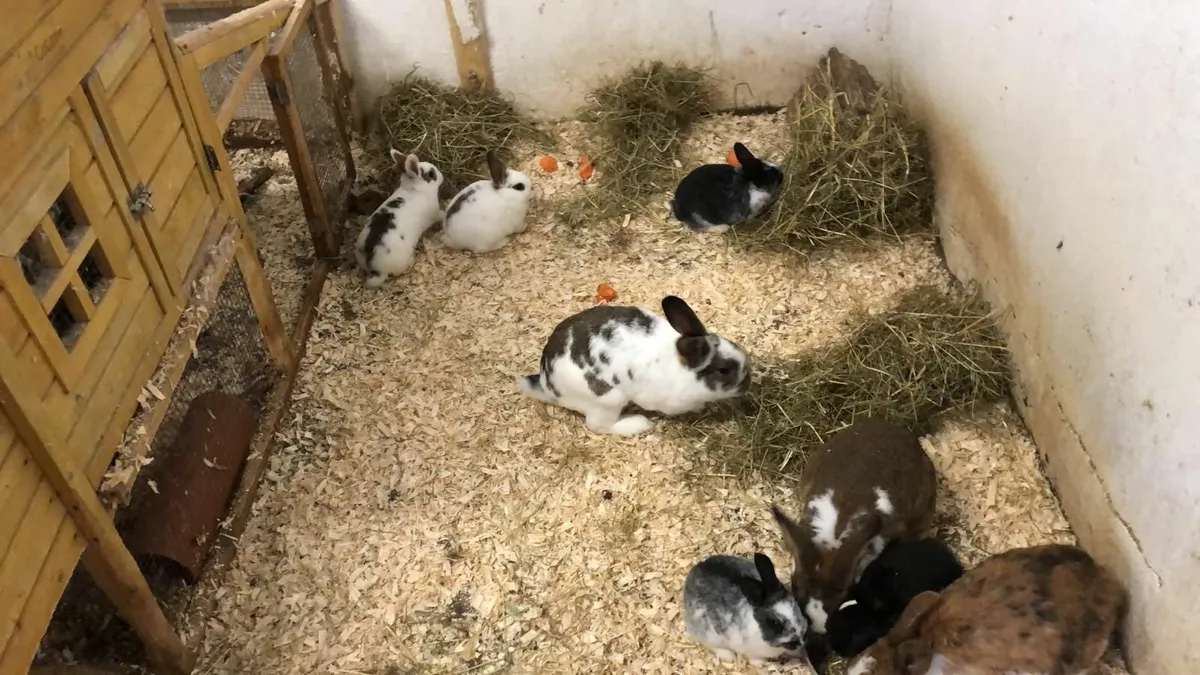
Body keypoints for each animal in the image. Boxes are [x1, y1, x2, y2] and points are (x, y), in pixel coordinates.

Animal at [354, 149, 444, 288]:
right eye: (431, 174)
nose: (441, 176)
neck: (414, 189)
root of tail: (377, 271)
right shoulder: (435, 214)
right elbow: (441, 214)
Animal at [517, 295, 750, 436]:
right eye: (724, 370)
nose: (747, 383)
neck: (682, 367)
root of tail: (547, 383)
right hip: (608, 400)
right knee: (599, 426)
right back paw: (639, 424)